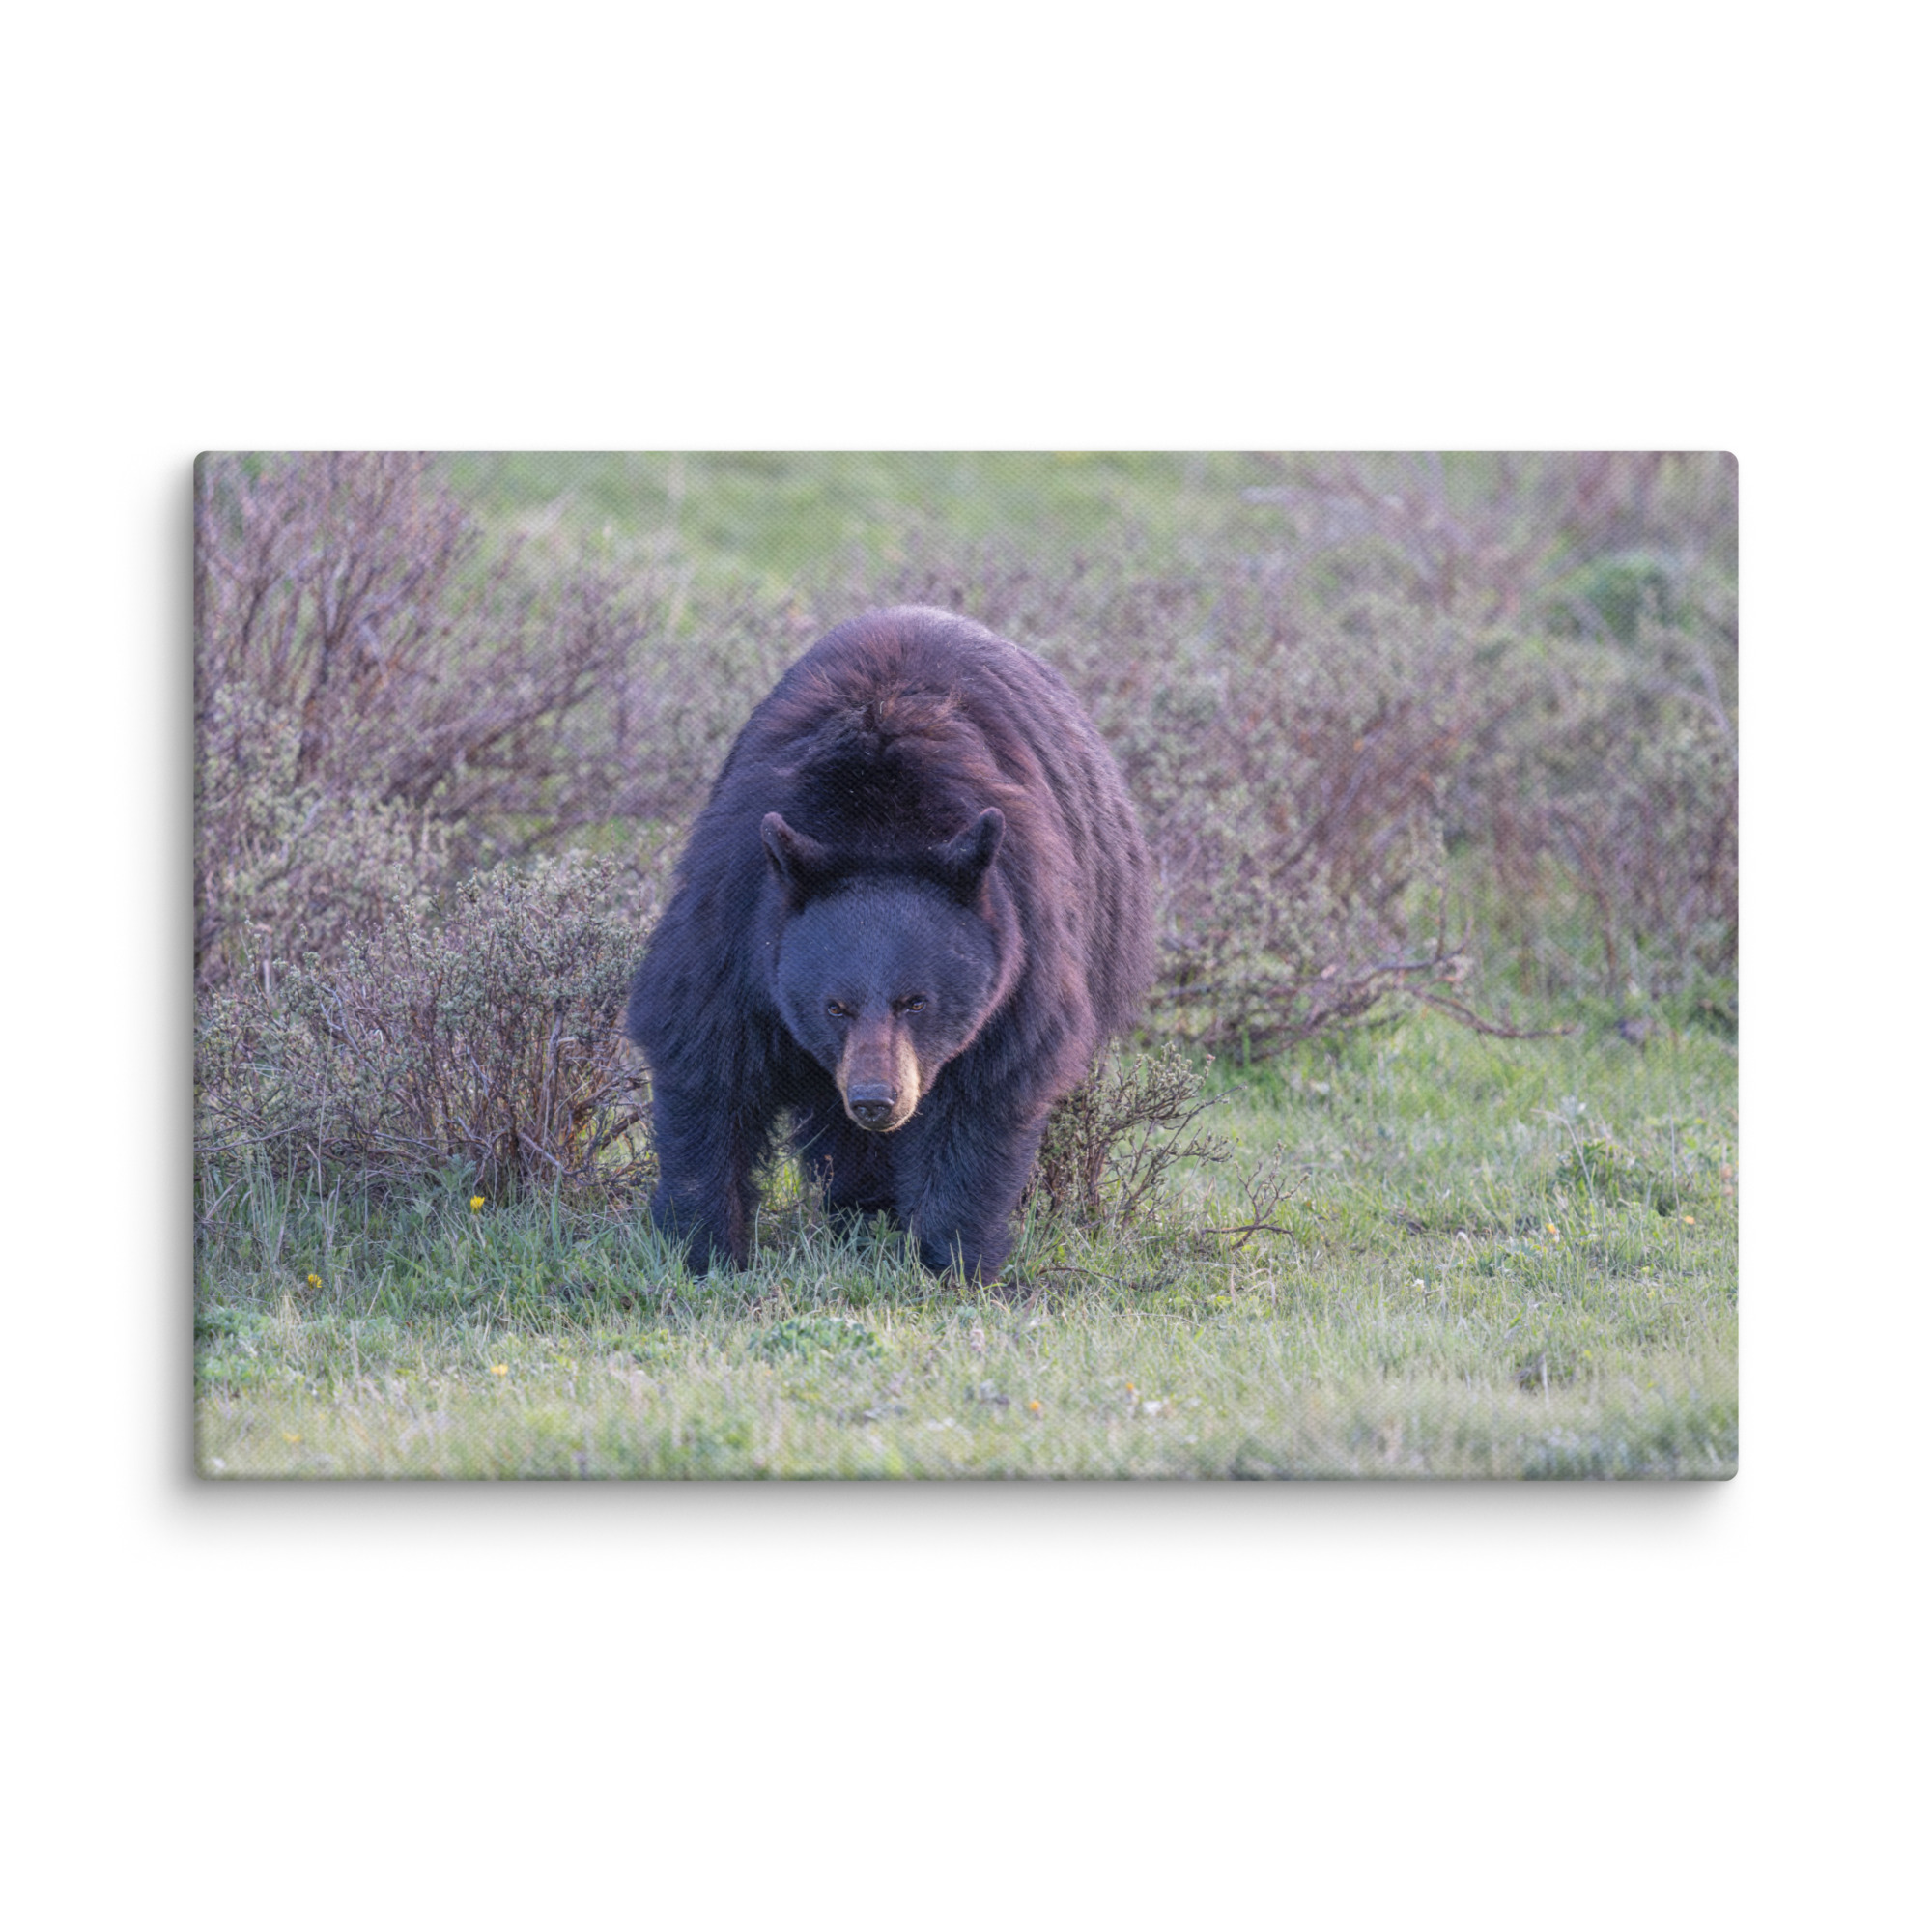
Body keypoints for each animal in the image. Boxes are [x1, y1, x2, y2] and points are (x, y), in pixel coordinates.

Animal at [625, 604, 1154, 1278]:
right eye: (834, 1006)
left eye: (916, 1001)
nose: (877, 1100)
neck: (878, 824)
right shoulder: (738, 917)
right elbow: (706, 1058)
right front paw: (704, 1247)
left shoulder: (1022, 940)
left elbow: (986, 1091)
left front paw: (954, 1258)